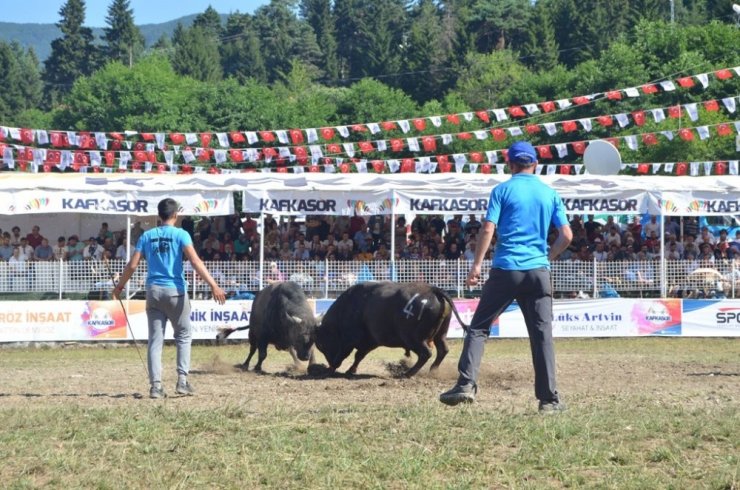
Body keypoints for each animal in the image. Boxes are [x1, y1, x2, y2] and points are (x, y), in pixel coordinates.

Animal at [314, 282, 468, 378]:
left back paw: (408, 373)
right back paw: (432, 371)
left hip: (414, 339)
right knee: (442, 350)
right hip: (440, 335)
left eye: (321, 344)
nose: (328, 362)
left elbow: (344, 354)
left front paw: (330, 369)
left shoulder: (349, 340)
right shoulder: (370, 341)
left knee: (426, 353)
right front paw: (351, 370)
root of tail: (433, 290)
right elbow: (359, 356)